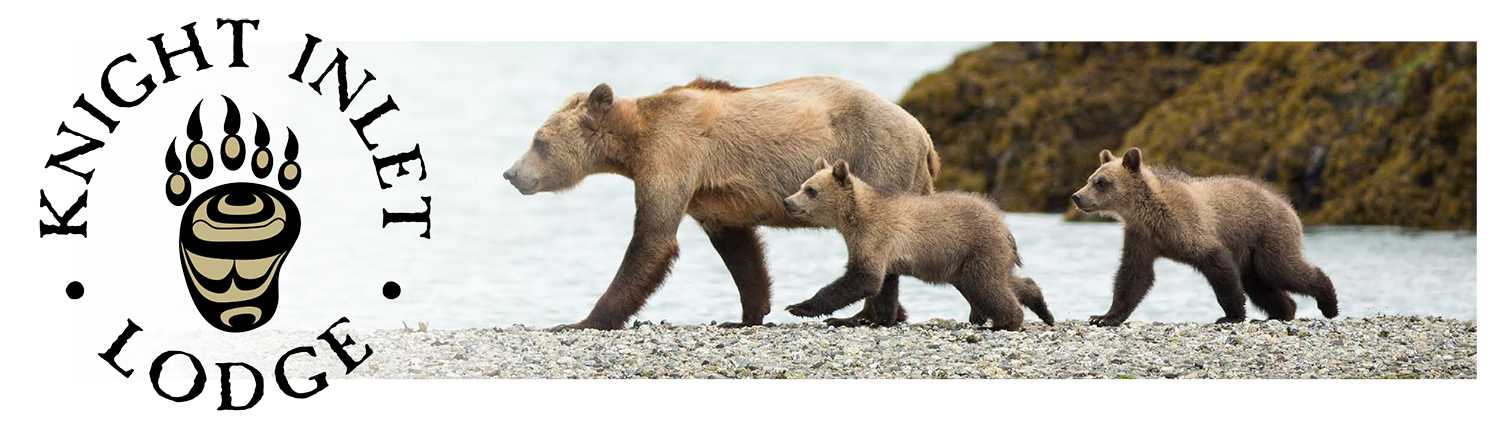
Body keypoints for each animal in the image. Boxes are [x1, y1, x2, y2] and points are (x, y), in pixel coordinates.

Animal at [510, 76, 942, 327]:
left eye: (538, 141)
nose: (511, 173)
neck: (632, 143)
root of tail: (924, 136)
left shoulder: (672, 157)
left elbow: (651, 239)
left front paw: (583, 320)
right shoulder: (709, 194)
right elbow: (740, 250)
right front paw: (748, 315)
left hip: (875, 157)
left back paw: (865, 315)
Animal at [786, 156, 1056, 328]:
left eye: (811, 190)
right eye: (802, 185)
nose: (787, 201)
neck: (854, 217)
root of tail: (1003, 222)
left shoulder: (876, 236)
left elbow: (862, 278)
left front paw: (799, 307)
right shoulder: (881, 249)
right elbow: (884, 286)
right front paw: (875, 319)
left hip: (977, 246)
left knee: (988, 285)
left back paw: (1005, 322)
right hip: (964, 262)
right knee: (1000, 281)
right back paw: (1042, 309)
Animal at [1074, 146, 1344, 324]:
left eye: (1101, 182)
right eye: (1090, 178)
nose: (1077, 197)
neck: (1149, 213)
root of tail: (1287, 204)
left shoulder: (1188, 227)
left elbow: (1217, 264)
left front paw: (1231, 315)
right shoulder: (1142, 237)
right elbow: (1133, 275)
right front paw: (1104, 316)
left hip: (1268, 234)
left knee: (1281, 270)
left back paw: (1328, 303)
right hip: (1251, 253)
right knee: (1258, 283)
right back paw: (1282, 312)